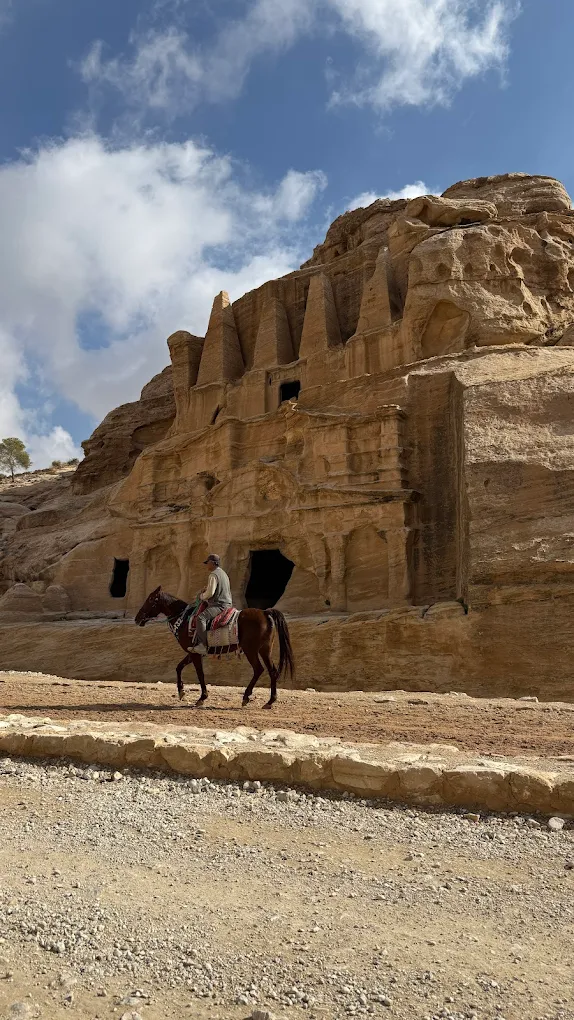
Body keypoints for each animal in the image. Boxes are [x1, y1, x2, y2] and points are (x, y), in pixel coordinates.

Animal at [134, 586, 295, 709]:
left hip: (251, 650)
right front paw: (181, 691)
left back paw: (246, 697)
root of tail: (265, 612)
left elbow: (200, 674)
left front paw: (202, 698)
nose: (137, 619)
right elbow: (179, 667)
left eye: (150, 599)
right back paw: (270, 701)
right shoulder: (192, 652)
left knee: (258, 669)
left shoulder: (195, 653)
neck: (184, 619)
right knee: (272, 671)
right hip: (265, 650)